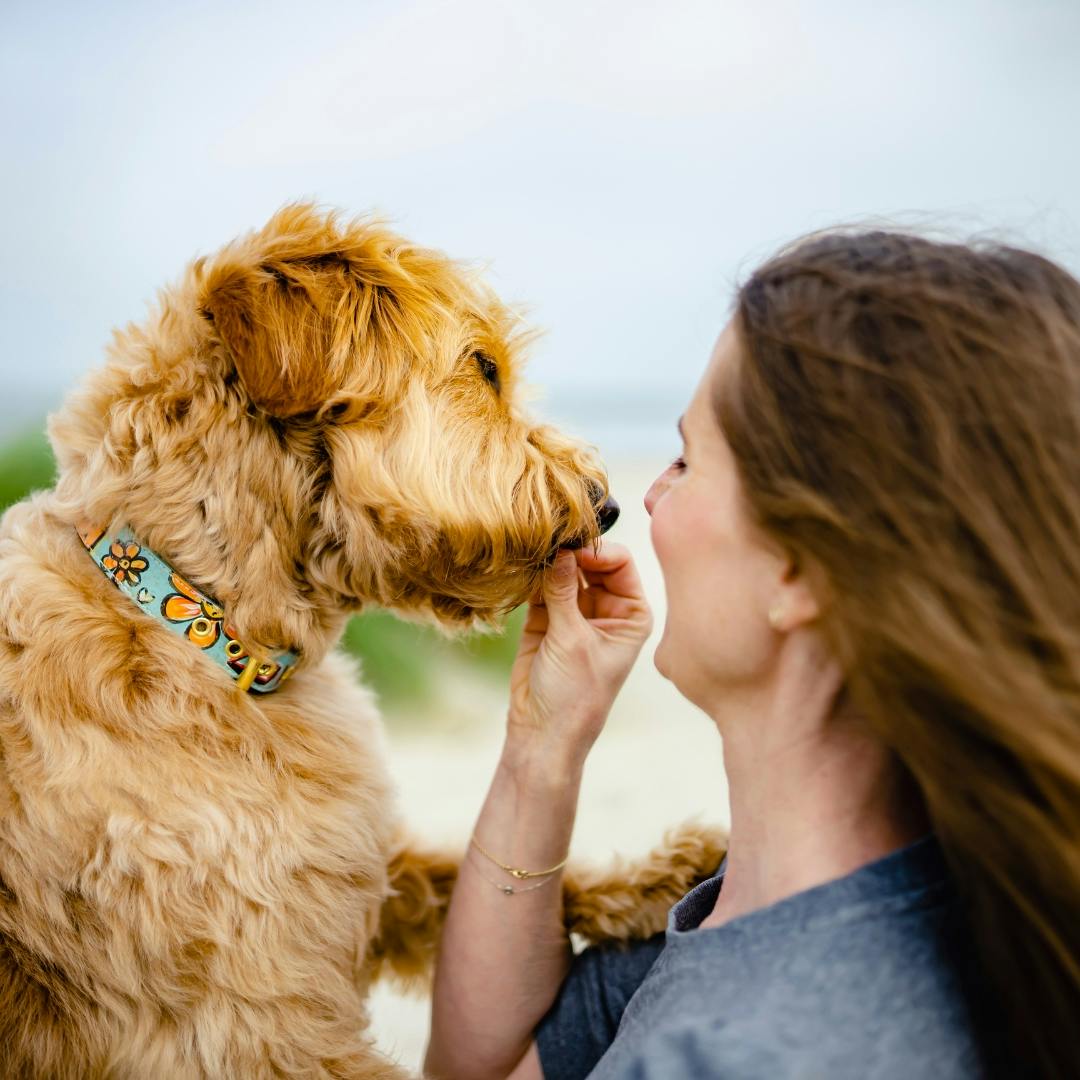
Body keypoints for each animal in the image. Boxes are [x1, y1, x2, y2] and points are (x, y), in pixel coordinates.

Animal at [0, 206, 730, 1075]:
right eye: (483, 366)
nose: (609, 504)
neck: (196, 622)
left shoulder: (355, 876)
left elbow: (457, 876)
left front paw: (662, 876)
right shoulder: (254, 1023)